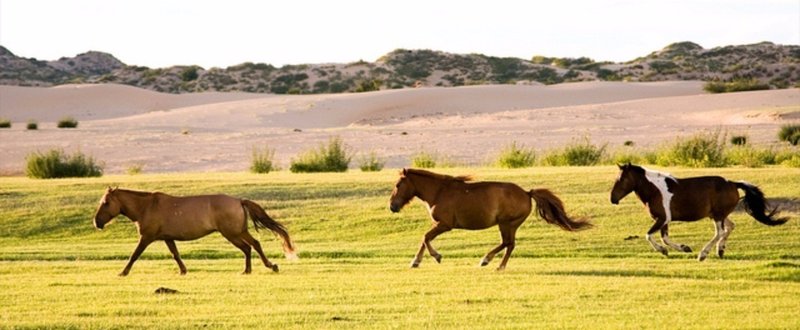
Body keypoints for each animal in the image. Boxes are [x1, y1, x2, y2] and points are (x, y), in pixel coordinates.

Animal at [92, 188, 296, 276]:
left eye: (106, 202)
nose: (96, 222)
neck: (146, 207)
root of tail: (239, 200)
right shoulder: (167, 238)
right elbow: (175, 255)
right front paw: (183, 271)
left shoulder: (147, 237)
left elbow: (134, 255)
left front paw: (123, 272)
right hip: (235, 232)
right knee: (249, 247)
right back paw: (248, 270)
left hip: (233, 233)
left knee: (253, 245)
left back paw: (269, 266)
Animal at [390, 169, 592, 270]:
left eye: (398, 184)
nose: (392, 206)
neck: (439, 192)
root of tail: (527, 193)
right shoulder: (438, 224)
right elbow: (425, 239)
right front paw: (416, 262)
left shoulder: (445, 225)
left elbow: (425, 237)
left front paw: (435, 257)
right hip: (510, 225)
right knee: (509, 244)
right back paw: (495, 264)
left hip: (507, 223)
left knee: (508, 243)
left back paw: (488, 261)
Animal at [612, 164, 788, 262]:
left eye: (622, 179)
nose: (613, 198)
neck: (655, 190)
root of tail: (732, 183)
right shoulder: (665, 220)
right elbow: (665, 238)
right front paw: (684, 248)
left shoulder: (662, 218)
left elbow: (649, 235)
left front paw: (664, 251)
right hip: (718, 214)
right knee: (730, 227)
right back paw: (720, 250)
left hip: (718, 216)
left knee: (720, 232)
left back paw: (703, 254)